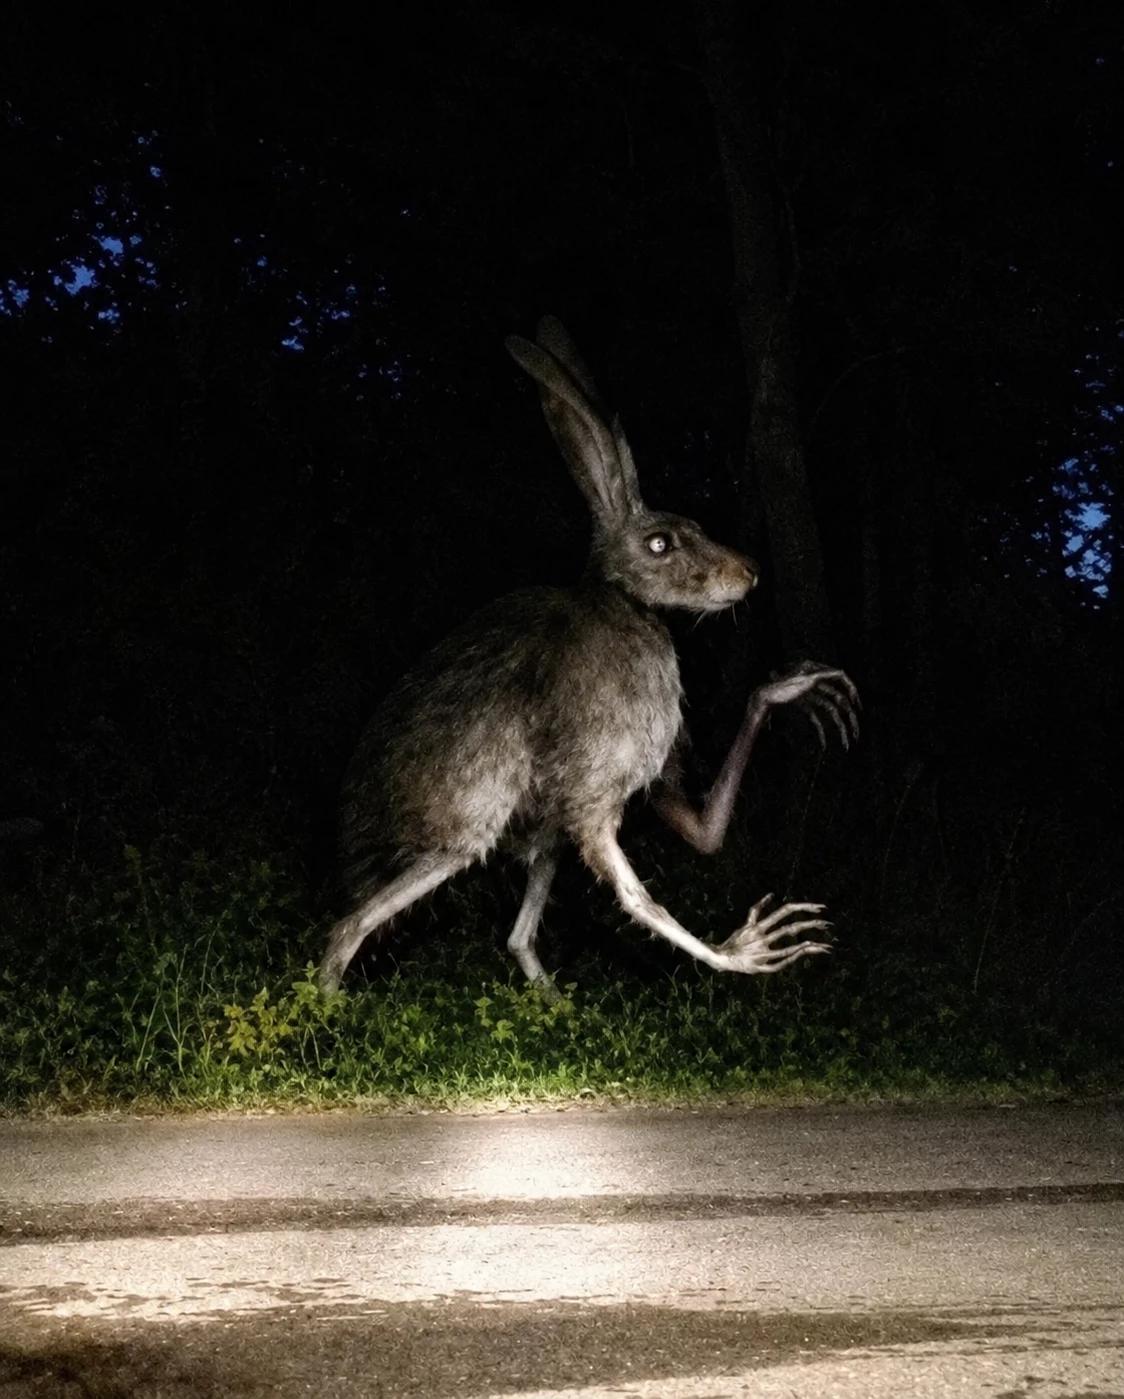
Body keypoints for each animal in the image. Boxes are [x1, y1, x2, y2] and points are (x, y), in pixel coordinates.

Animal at [319, 317, 859, 996]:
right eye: (660, 544)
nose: (750, 573)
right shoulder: (595, 795)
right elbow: (640, 901)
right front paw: (746, 951)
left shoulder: (608, 795)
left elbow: (704, 836)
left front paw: (795, 687)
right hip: (464, 836)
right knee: (348, 926)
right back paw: (324, 1009)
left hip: (536, 834)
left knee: (516, 936)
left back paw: (552, 1002)